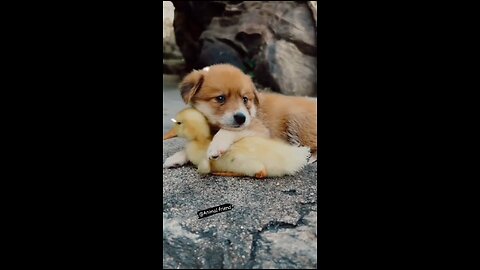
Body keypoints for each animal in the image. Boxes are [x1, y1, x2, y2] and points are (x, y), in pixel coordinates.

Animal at [163, 64, 316, 168]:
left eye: (245, 99)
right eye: (220, 98)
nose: (241, 118)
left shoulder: (259, 129)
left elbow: (227, 131)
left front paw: (216, 146)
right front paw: (177, 157)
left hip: (298, 121)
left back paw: (308, 158)